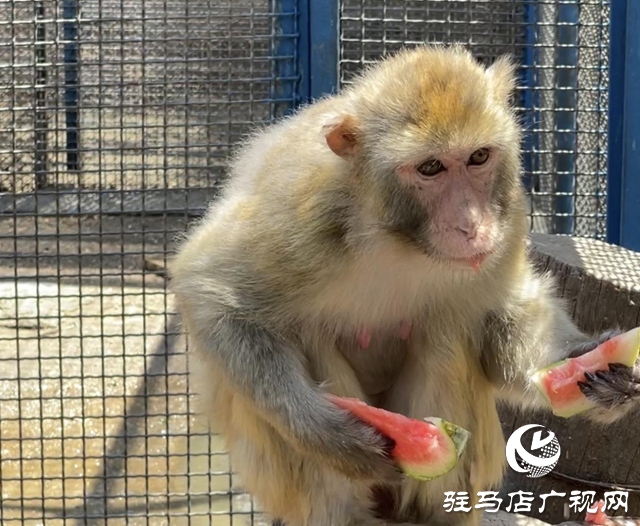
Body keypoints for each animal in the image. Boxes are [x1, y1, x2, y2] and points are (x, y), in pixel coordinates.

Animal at [168, 46, 640, 526]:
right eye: (431, 167)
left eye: (479, 157)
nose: (471, 224)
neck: (400, 238)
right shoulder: (300, 213)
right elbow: (209, 290)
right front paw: (326, 432)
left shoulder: (507, 227)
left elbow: (502, 321)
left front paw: (590, 367)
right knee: (307, 333)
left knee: (446, 330)